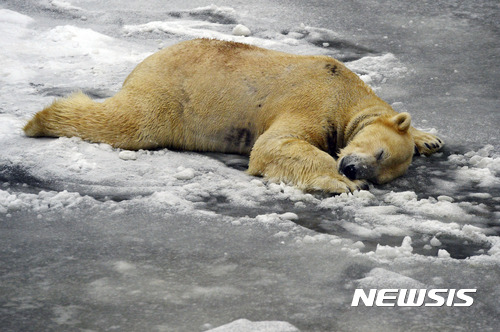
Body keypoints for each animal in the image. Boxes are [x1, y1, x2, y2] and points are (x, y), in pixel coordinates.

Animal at [25, 39, 444, 195]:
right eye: (379, 154)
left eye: (382, 170)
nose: (354, 169)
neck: (346, 90)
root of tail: (146, 61)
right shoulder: (314, 97)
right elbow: (274, 145)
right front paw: (339, 182)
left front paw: (430, 138)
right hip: (170, 95)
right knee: (128, 122)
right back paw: (39, 120)